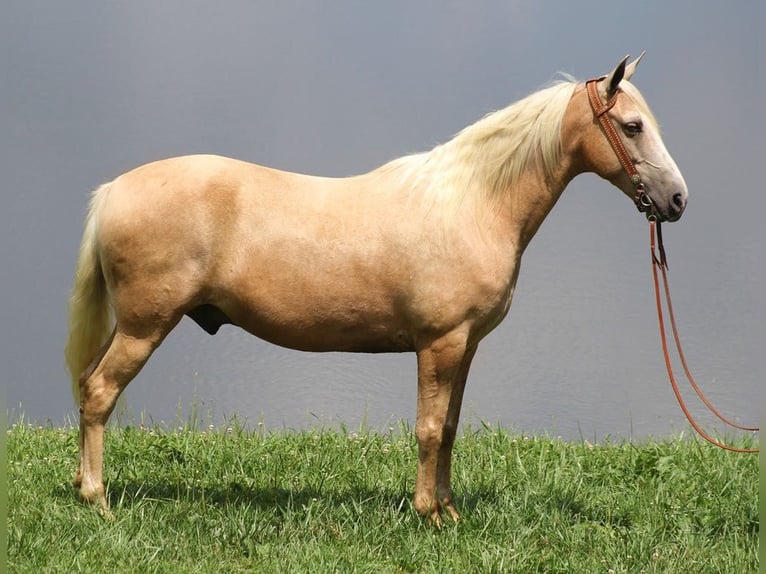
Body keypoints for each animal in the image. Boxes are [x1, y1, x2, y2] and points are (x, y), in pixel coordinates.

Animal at [66, 55, 688, 528]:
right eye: (632, 125)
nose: (678, 199)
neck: (473, 204)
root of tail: (113, 191)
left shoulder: (466, 346)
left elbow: (450, 429)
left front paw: (449, 511)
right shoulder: (439, 343)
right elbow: (429, 429)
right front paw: (427, 514)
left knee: (87, 387)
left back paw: (80, 483)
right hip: (146, 326)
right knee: (99, 393)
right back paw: (98, 500)